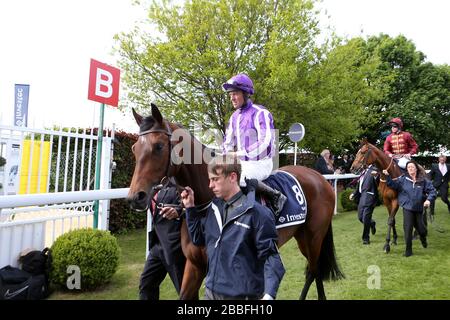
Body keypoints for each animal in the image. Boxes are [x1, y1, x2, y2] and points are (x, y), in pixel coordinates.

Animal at [127, 103, 344, 300]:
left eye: (158, 146)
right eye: (134, 148)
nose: (135, 197)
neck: (207, 202)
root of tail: (319, 178)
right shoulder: (195, 264)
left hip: (314, 235)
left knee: (313, 270)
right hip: (301, 235)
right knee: (314, 270)